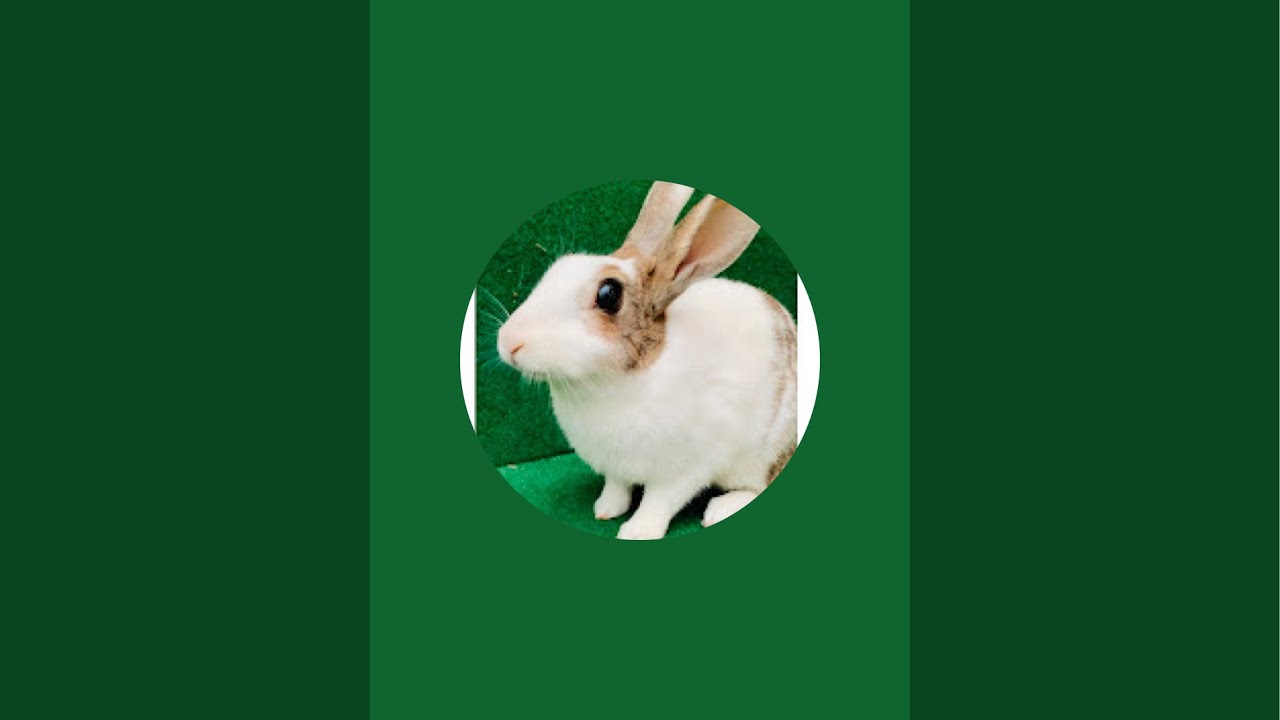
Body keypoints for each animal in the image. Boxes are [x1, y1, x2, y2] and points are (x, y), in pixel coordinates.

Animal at [496, 181, 797, 540]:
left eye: (608, 294)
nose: (508, 342)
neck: (609, 385)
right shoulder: (615, 466)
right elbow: (617, 486)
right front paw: (605, 509)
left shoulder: (687, 467)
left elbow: (659, 501)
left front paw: (636, 532)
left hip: (765, 453)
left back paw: (723, 508)